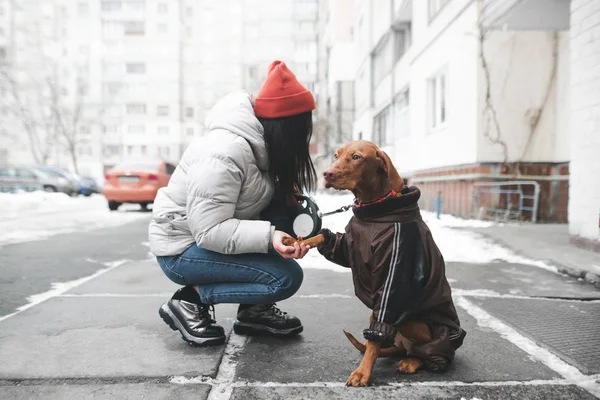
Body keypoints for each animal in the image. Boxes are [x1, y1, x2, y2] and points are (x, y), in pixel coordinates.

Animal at [288, 141, 466, 388]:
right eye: (336, 154)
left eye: (356, 157)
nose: (327, 174)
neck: (373, 211)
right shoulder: (347, 246)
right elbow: (325, 238)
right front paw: (296, 242)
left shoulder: (394, 278)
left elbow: (375, 337)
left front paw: (362, 373)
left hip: (412, 321)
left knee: (420, 351)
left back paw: (413, 361)